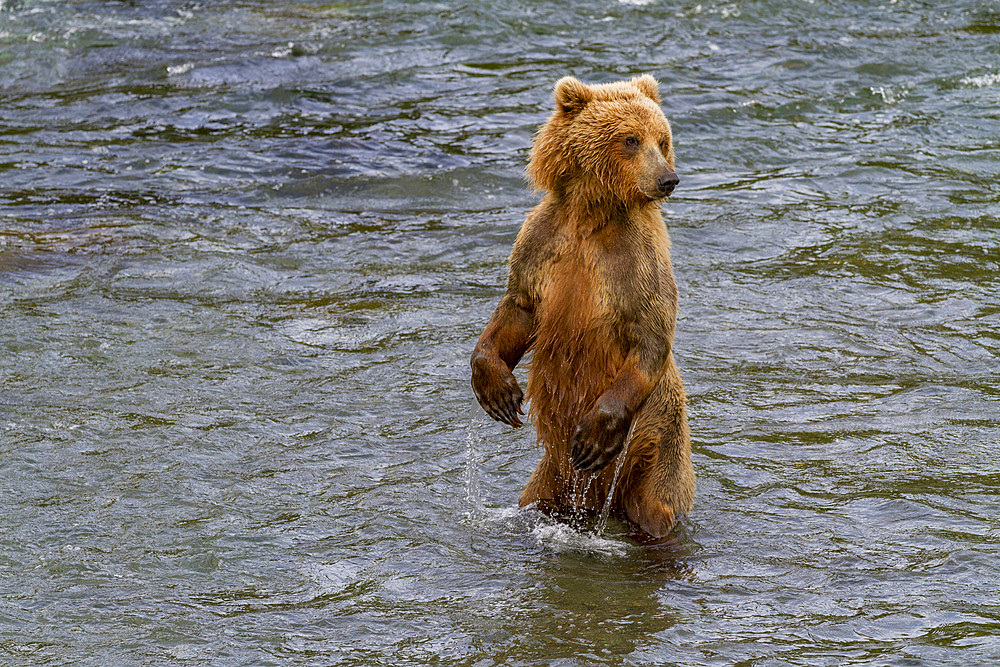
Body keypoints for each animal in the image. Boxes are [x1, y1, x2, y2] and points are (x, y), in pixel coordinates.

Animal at [470, 75, 696, 540]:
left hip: (658, 446)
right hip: (553, 476)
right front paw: (498, 392)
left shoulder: (637, 261)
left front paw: (595, 434)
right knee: (536, 499)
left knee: (658, 509)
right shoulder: (543, 240)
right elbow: (519, 306)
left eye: (662, 139)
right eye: (631, 139)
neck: (593, 215)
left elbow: (651, 332)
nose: (668, 179)